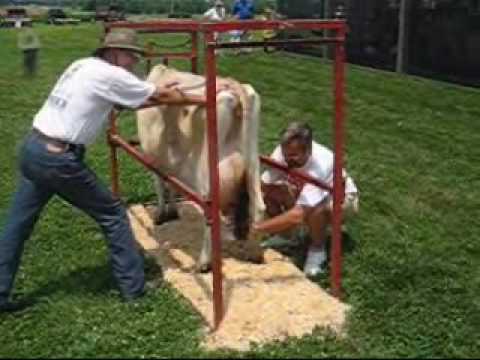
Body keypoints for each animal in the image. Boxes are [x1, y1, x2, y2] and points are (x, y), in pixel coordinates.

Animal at [137, 64, 266, 270]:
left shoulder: (152, 156)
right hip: (253, 162)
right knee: (258, 206)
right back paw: (254, 252)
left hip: (207, 174)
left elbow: (160, 184)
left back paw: (204, 262)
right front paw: (173, 211)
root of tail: (234, 90)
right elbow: (172, 184)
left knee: (212, 212)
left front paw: (161, 214)